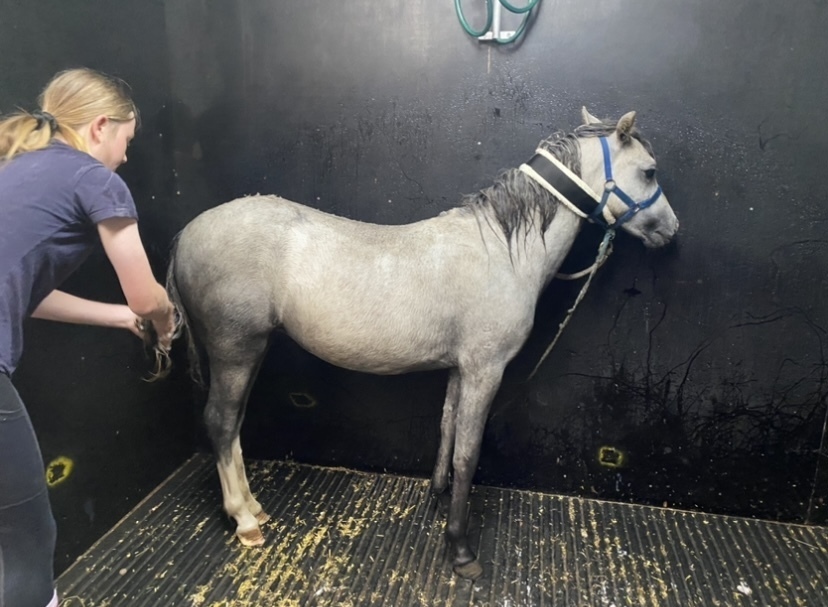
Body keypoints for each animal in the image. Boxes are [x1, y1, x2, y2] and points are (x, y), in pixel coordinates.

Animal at [162, 107, 679, 580]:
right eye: (649, 171)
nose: (671, 230)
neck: (502, 251)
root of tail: (186, 233)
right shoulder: (485, 370)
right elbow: (469, 454)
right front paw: (461, 549)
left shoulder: (459, 369)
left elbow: (446, 431)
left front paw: (436, 499)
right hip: (235, 351)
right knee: (221, 422)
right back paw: (244, 519)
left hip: (252, 351)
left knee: (234, 424)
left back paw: (254, 506)